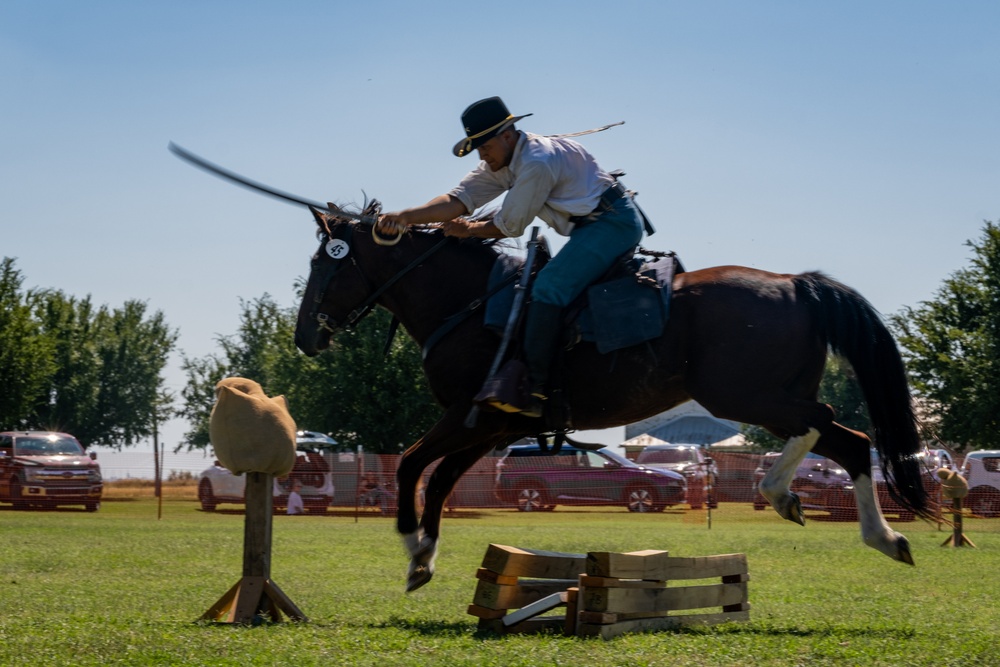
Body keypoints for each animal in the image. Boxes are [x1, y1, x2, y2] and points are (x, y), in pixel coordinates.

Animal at [294, 214, 928, 588]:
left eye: (325, 261)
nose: (305, 337)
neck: (471, 302)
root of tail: (796, 283)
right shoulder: (492, 426)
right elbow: (443, 477)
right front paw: (425, 554)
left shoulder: (469, 417)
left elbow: (410, 464)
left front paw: (412, 548)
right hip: (767, 395)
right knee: (844, 439)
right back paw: (861, 527)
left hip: (745, 396)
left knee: (835, 430)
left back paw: (807, 503)